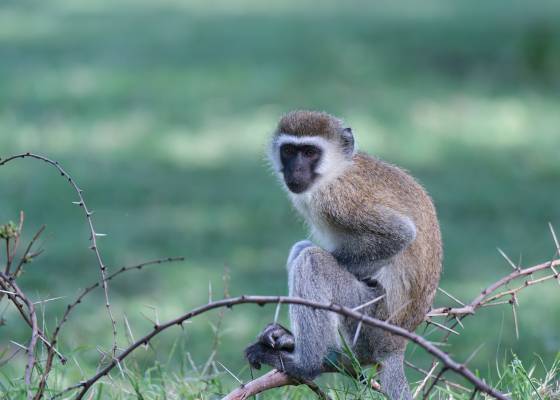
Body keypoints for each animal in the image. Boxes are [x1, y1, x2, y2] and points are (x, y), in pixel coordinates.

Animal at [245, 110, 442, 400]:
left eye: (310, 153)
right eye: (289, 151)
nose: (296, 171)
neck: (335, 171)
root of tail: (395, 345)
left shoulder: (339, 199)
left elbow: (401, 234)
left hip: (367, 320)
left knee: (311, 260)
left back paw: (305, 364)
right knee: (302, 250)